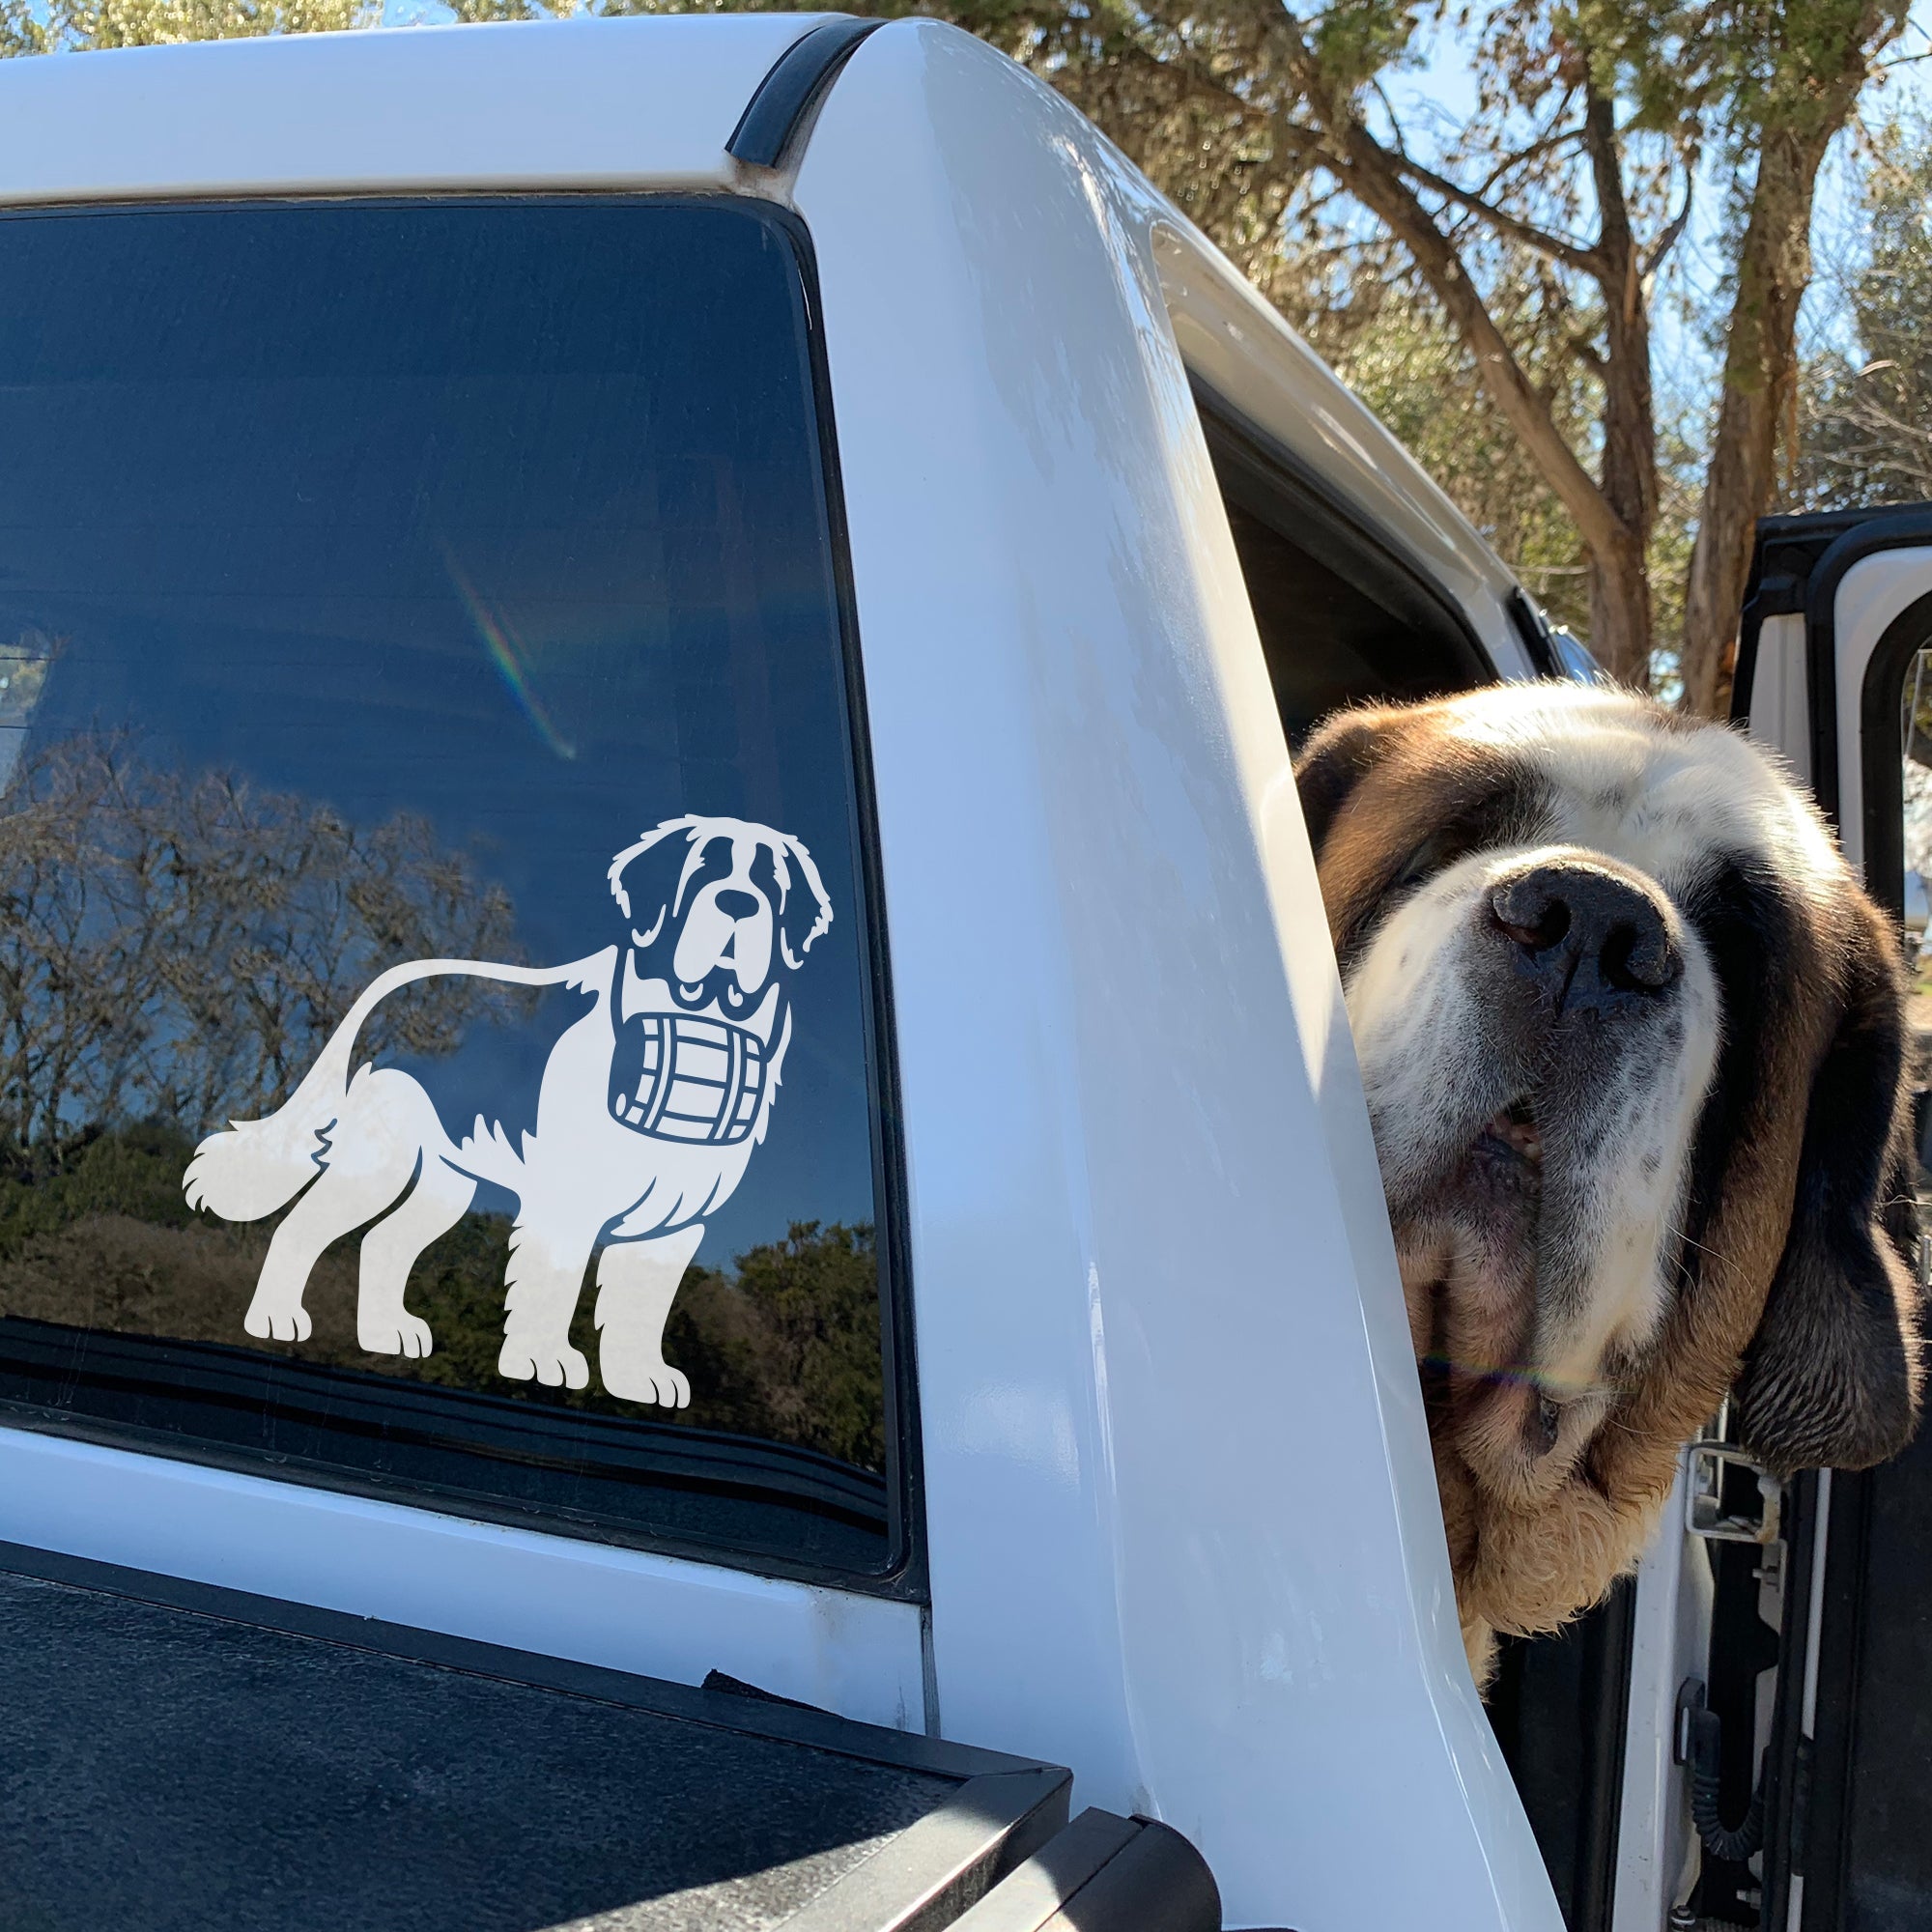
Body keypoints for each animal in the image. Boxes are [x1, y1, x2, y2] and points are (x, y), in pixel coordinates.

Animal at [183, 811, 838, 1406]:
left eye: (773, 887)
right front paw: (545, 1361)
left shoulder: (677, 1225)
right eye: (703, 869)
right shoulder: (566, 1203)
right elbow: (553, 1284)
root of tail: (390, 985)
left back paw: (387, 1335)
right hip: (377, 1166)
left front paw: (638, 1379)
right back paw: (275, 1320)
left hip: (447, 1182)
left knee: (383, 1242)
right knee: (299, 1227)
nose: (738, 903)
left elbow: (641, 1308)